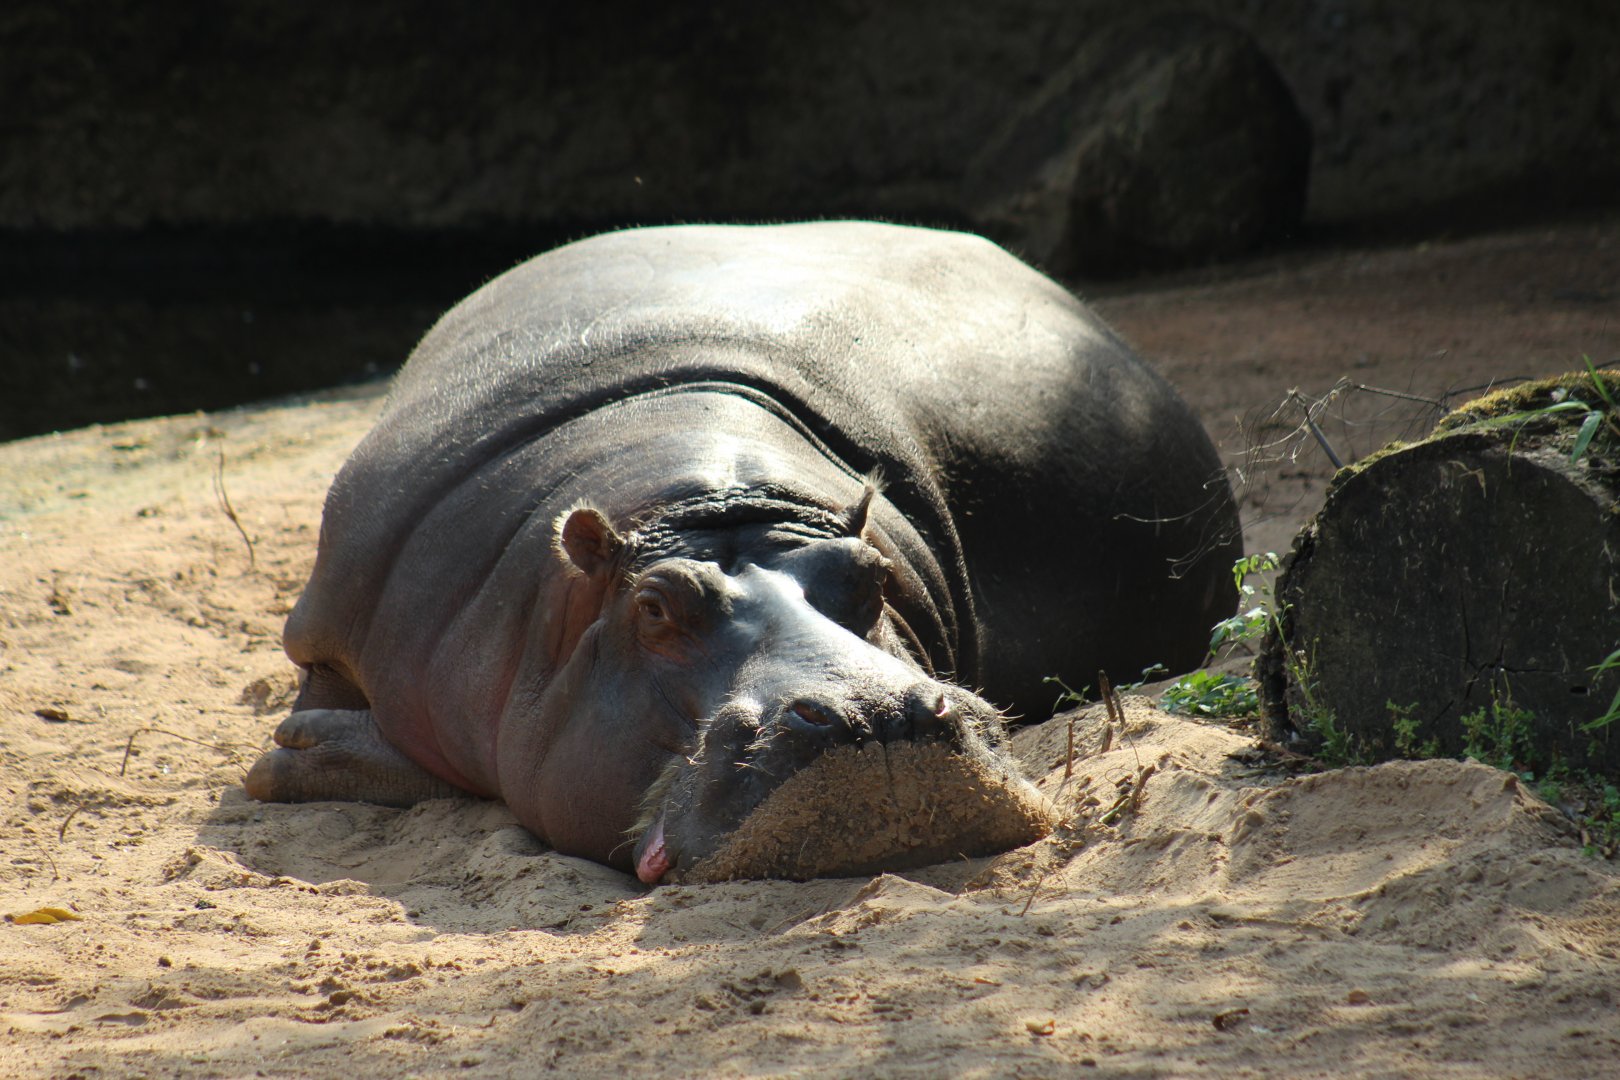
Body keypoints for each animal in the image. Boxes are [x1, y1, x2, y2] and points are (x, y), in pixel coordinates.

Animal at [245, 221, 1240, 883]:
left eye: (872, 578)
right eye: (654, 607)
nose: (877, 713)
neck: (706, 499)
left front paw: (297, 748)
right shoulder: (329, 625)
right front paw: (290, 746)